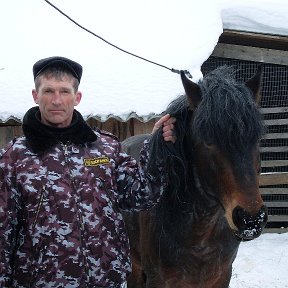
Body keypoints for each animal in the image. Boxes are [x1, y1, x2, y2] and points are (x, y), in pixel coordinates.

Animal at [121, 66, 268, 288]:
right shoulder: (157, 279)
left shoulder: (221, 276)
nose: (250, 219)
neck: (200, 235)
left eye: (257, 138)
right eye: (207, 140)